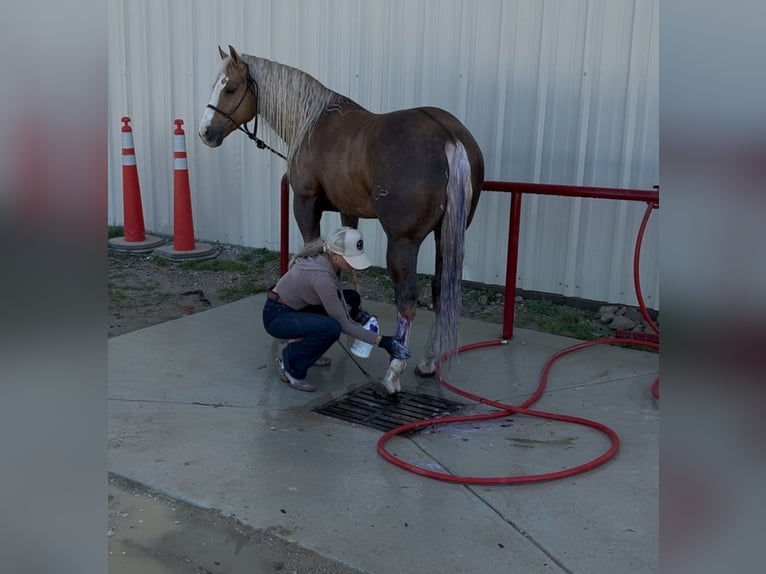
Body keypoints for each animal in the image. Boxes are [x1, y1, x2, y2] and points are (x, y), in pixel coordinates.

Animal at [200, 46, 486, 396]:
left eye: (229, 88)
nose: (205, 132)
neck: (311, 123)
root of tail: (449, 137)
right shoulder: (348, 212)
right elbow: (344, 272)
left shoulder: (306, 205)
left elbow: (310, 252)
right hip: (444, 236)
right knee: (439, 292)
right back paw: (428, 362)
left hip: (403, 241)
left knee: (407, 300)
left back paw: (394, 370)